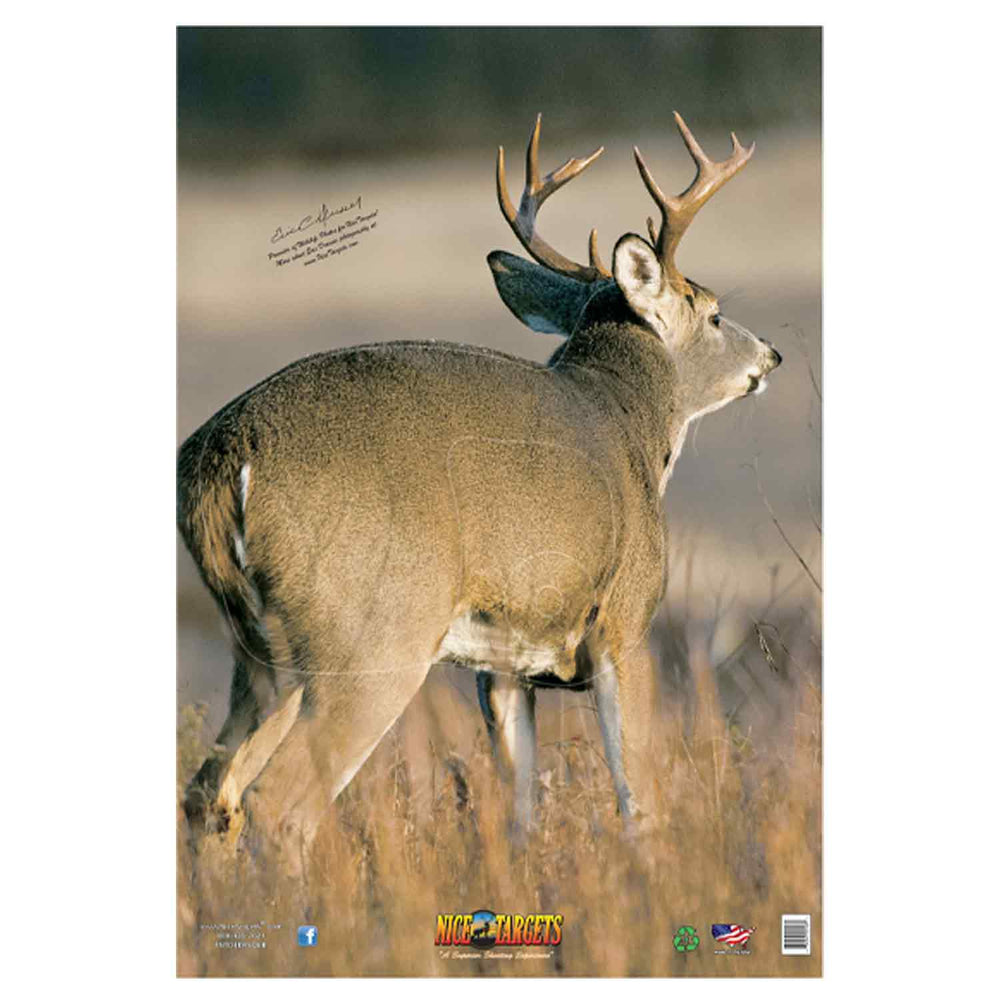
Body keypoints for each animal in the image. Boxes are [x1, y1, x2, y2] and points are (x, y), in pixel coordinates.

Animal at [177, 112, 781, 869]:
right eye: (715, 314)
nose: (772, 356)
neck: (629, 419)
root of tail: (220, 459)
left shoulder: (503, 662)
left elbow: (519, 806)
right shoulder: (626, 621)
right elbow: (637, 797)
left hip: (261, 649)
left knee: (209, 792)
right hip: (372, 633)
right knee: (278, 802)